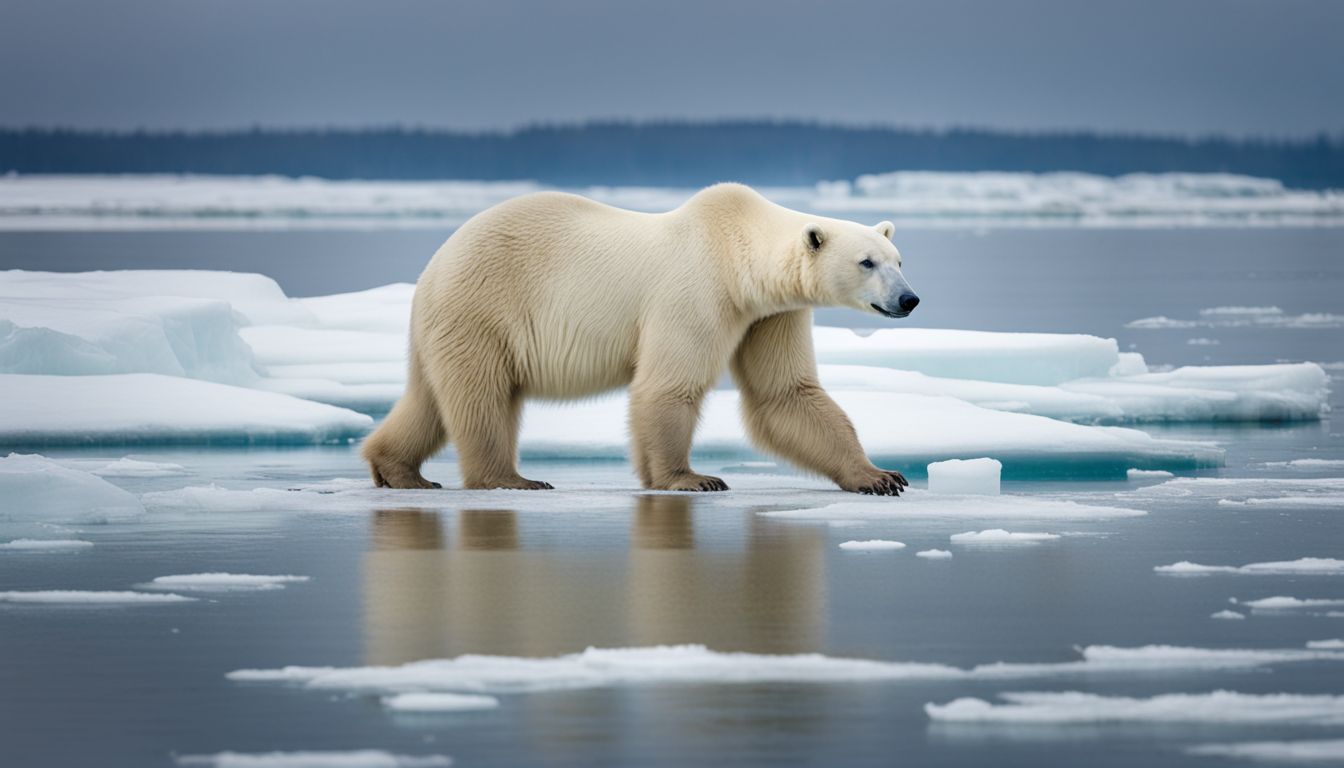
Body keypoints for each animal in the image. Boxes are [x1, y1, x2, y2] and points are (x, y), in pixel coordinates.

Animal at [362, 183, 919, 494]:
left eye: (897, 260)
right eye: (866, 262)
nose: (909, 299)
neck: (736, 251)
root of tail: (434, 266)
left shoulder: (770, 315)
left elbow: (785, 393)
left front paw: (880, 476)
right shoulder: (697, 291)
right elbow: (669, 385)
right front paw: (692, 478)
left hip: (449, 322)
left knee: (429, 399)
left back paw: (399, 470)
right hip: (485, 306)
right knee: (483, 398)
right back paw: (512, 477)